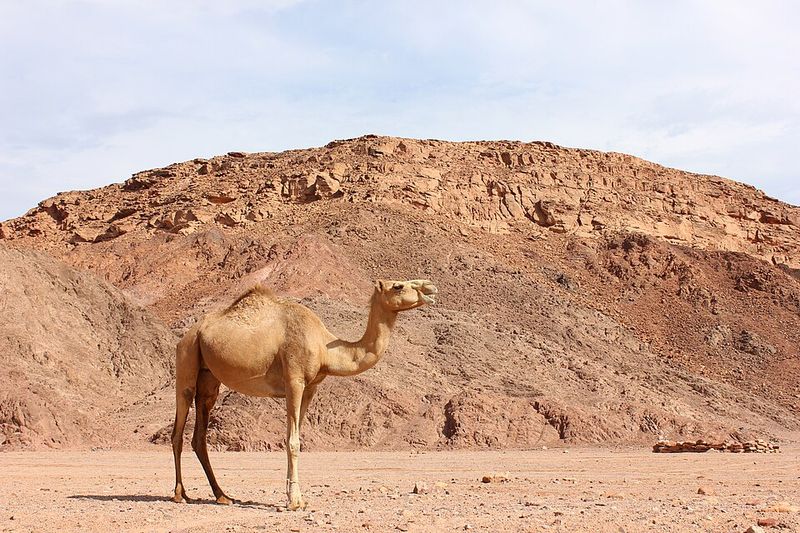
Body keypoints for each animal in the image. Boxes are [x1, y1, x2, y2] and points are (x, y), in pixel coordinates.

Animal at [170, 278, 437, 510]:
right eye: (399, 286)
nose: (430, 288)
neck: (325, 349)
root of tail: (190, 332)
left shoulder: (310, 388)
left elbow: (297, 438)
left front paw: (295, 496)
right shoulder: (294, 381)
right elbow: (293, 442)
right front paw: (295, 500)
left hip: (209, 379)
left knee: (199, 434)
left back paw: (222, 496)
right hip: (187, 358)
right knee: (178, 428)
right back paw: (180, 494)